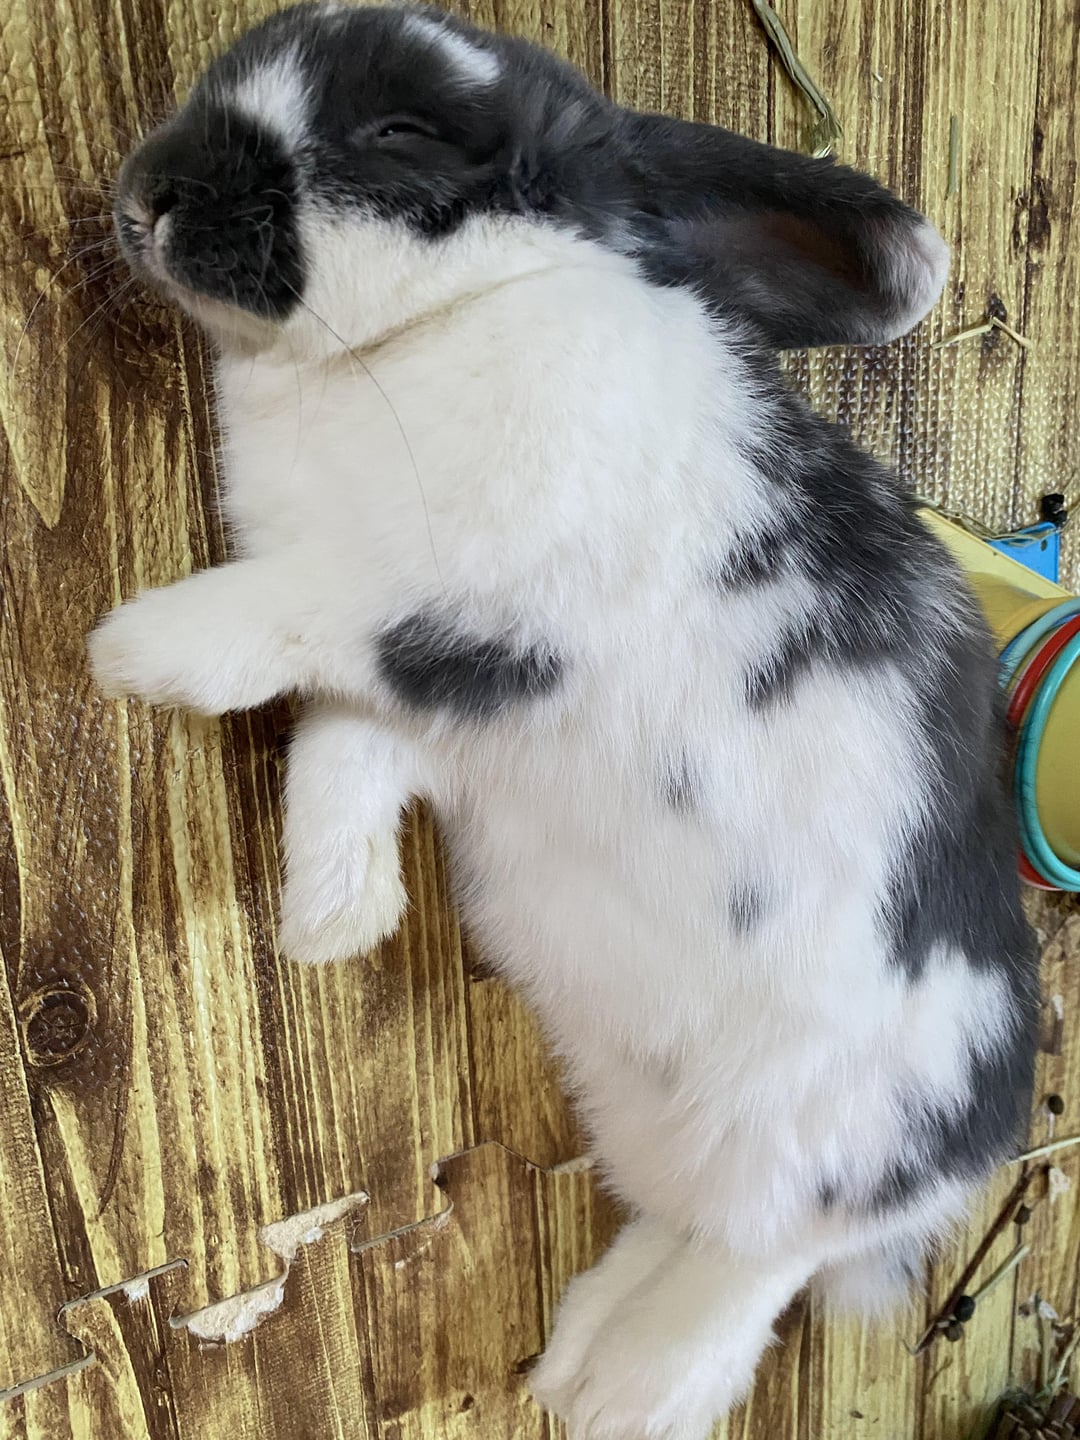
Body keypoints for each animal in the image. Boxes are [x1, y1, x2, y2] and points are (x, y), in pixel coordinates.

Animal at [89, 4, 1038, 1436]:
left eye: (401, 131)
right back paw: (577, 1356)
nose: (148, 194)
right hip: (661, 1122)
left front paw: (137, 652)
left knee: (763, 1267)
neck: (445, 324)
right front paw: (333, 922)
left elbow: (300, 614)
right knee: (691, 1227)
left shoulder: (451, 599)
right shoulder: (419, 693)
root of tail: (969, 1155)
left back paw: (633, 1395)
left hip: (832, 1142)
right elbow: (338, 751)